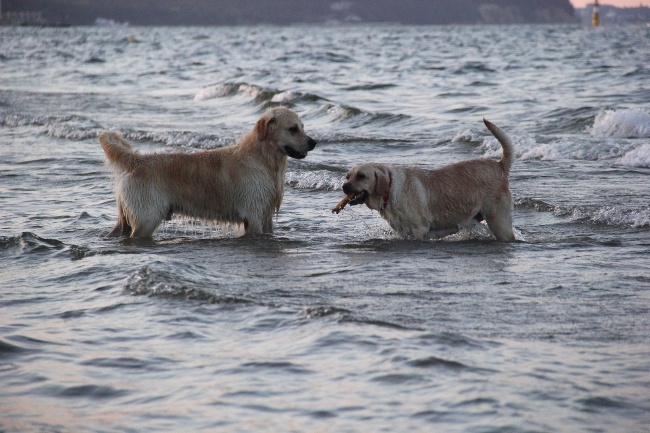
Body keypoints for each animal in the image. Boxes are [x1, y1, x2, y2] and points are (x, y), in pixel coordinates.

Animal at [98, 106, 316, 238]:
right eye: (293, 129)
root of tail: (136, 160)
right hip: (147, 218)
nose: (314, 142)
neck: (265, 160)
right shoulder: (253, 214)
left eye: (303, 127)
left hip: (126, 218)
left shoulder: (266, 215)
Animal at [336, 119, 512, 240]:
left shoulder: (418, 230)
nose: (344, 186)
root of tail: (499, 165)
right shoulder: (403, 231)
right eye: (347, 176)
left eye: (361, 176)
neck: (390, 191)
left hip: (499, 223)